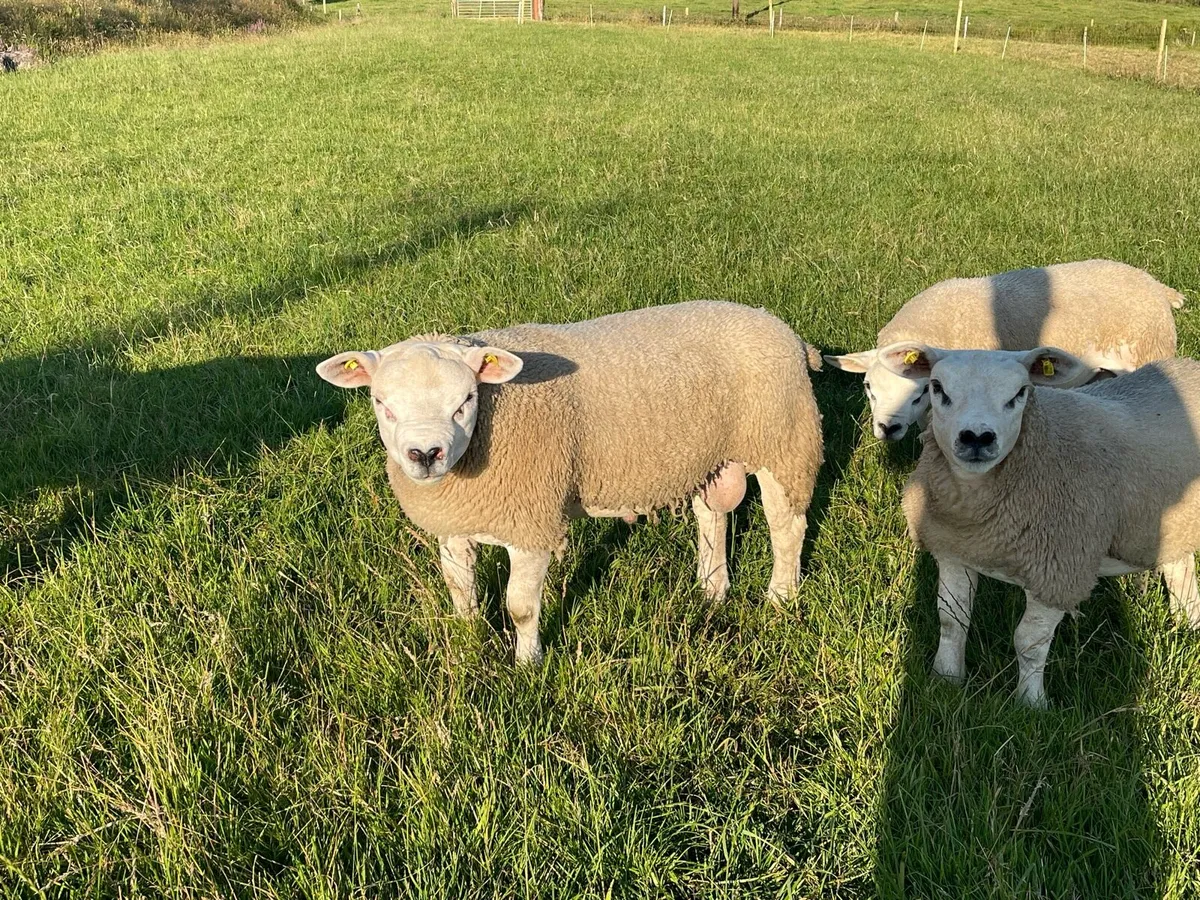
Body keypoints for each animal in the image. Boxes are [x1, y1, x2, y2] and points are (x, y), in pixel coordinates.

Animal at [316, 300, 824, 663]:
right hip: (708, 455)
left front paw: (528, 665)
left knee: (787, 527)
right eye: (381, 403)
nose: (425, 455)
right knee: (712, 517)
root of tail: (788, 333)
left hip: (783, 440)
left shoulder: (531, 520)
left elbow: (520, 607)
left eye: (466, 400)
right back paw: (711, 590)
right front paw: (466, 645)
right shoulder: (455, 523)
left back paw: (780, 598)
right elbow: (460, 591)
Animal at [880, 342, 1200, 707]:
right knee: (1180, 568)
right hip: (1176, 519)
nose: (977, 437)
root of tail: (1189, 365)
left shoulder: (1058, 571)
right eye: (937, 387)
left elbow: (1028, 642)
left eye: (1021, 392)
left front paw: (1031, 703)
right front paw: (945, 680)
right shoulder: (954, 551)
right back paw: (1188, 624)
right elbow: (951, 620)